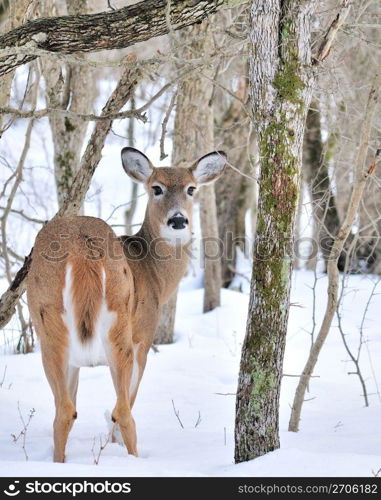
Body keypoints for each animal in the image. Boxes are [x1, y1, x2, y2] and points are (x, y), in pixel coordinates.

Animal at [26, 146, 226, 462]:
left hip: (47, 322)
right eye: (156, 188)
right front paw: (116, 444)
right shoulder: (143, 336)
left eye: (191, 189)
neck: (152, 273)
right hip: (119, 326)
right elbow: (126, 402)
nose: (178, 220)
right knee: (122, 411)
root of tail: (82, 253)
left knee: (64, 411)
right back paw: (134, 459)